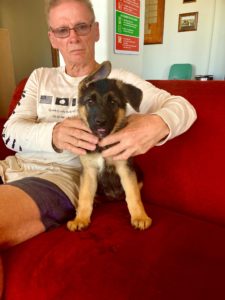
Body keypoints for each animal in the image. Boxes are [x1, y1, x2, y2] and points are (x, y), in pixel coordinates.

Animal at [67, 60, 151, 230]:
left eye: (113, 102)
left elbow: (133, 195)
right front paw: (80, 219)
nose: (100, 122)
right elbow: (85, 196)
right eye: (90, 101)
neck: (101, 146)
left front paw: (140, 216)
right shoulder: (89, 171)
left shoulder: (125, 169)